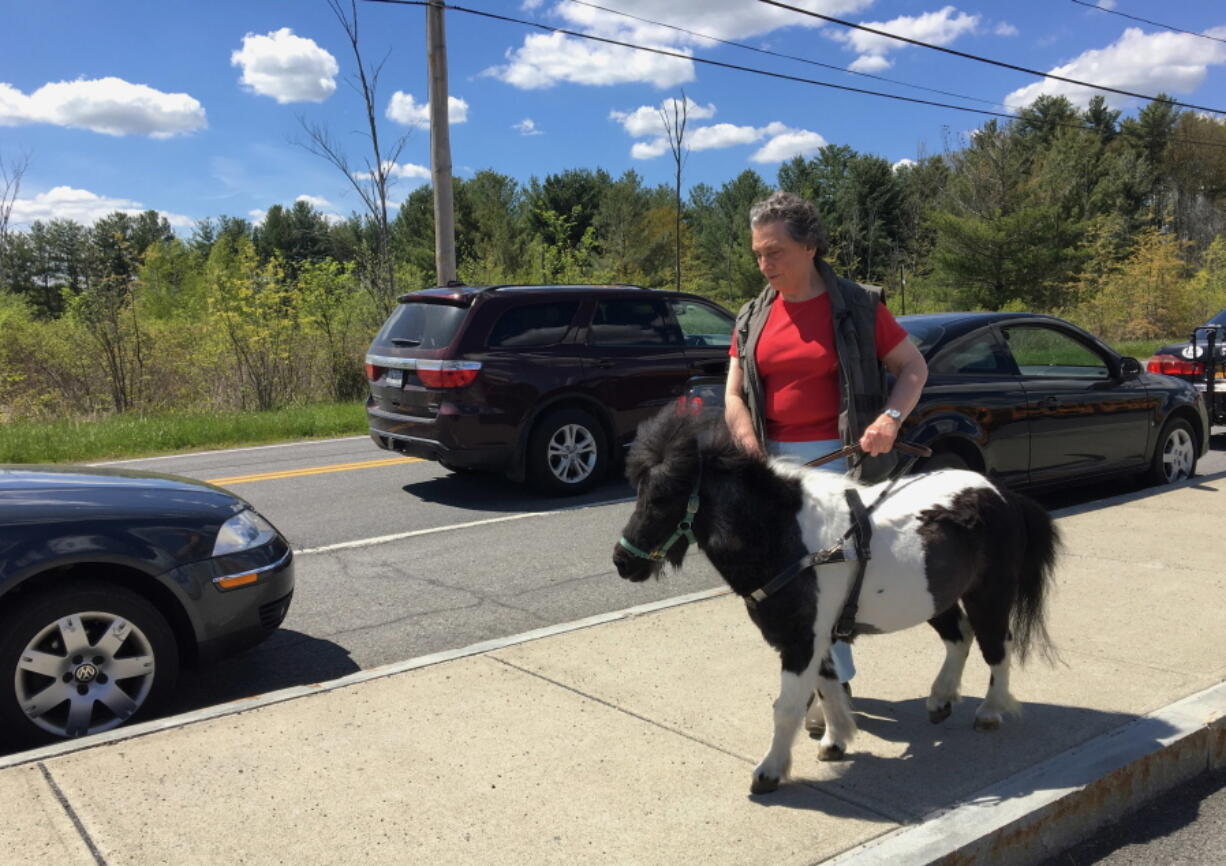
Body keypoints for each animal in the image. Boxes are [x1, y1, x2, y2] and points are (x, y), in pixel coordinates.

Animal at [617, 407, 1059, 794]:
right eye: (638, 491)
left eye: (663, 496)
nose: (622, 561)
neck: (790, 540)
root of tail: (1003, 493)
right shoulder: (818, 638)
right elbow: (828, 688)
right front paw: (835, 740)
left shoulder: (801, 640)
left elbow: (787, 706)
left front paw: (769, 772)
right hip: (940, 597)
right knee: (959, 637)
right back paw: (941, 698)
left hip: (990, 593)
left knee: (995, 647)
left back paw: (990, 711)